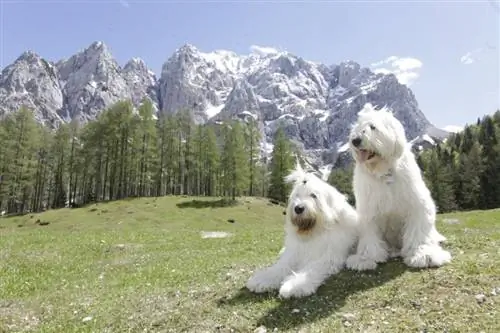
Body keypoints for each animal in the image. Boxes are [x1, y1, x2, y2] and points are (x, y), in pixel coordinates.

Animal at [245, 161, 356, 298]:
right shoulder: (293, 254)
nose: (298, 208)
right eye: (296, 196)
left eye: (313, 195)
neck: (312, 233)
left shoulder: (326, 257)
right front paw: (262, 279)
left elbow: (311, 269)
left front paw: (294, 286)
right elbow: (280, 267)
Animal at [346, 103, 452, 270]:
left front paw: (423, 254)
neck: (384, 171)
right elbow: (369, 235)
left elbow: (417, 232)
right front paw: (365, 258)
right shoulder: (369, 211)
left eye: (373, 127)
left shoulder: (417, 204)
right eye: (357, 127)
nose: (355, 140)